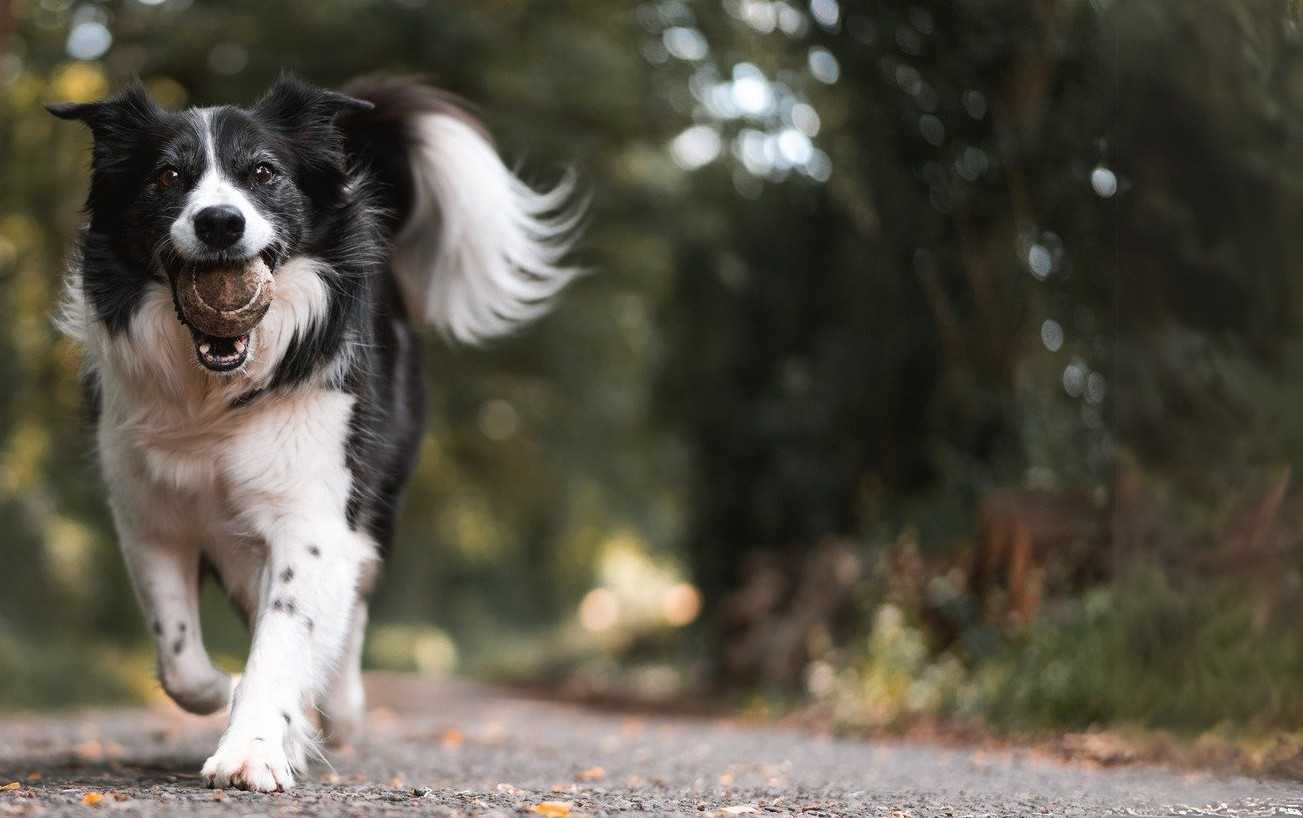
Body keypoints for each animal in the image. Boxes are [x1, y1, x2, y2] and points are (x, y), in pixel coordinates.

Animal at [48, 76, 583, 791]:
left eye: (263, 173)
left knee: (351, 607)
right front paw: (229, 696)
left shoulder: (314, 514)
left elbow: (286, 637)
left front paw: (252, 750)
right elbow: (180, 659)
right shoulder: (150, 515)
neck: (214, 393)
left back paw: (341, 710)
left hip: (375, 501)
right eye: (167, 177)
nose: (220, 222)